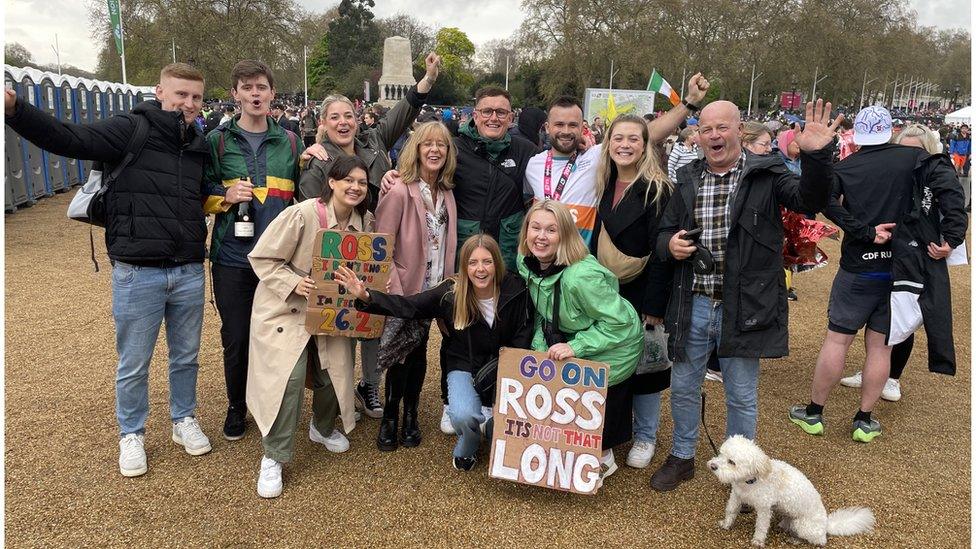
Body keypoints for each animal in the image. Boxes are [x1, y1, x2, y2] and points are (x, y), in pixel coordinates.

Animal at [704, 434, 872, 544]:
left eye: (732, 462)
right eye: (721, 454)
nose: (713, 466)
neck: (750, 481)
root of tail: (826, 525)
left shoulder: (764, 509)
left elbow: (761, 526)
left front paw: (757, 541)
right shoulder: (736, 496)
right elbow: (730, 512)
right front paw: (726, 525)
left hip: (803, 526)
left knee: (819, 541)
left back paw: (796, 540)